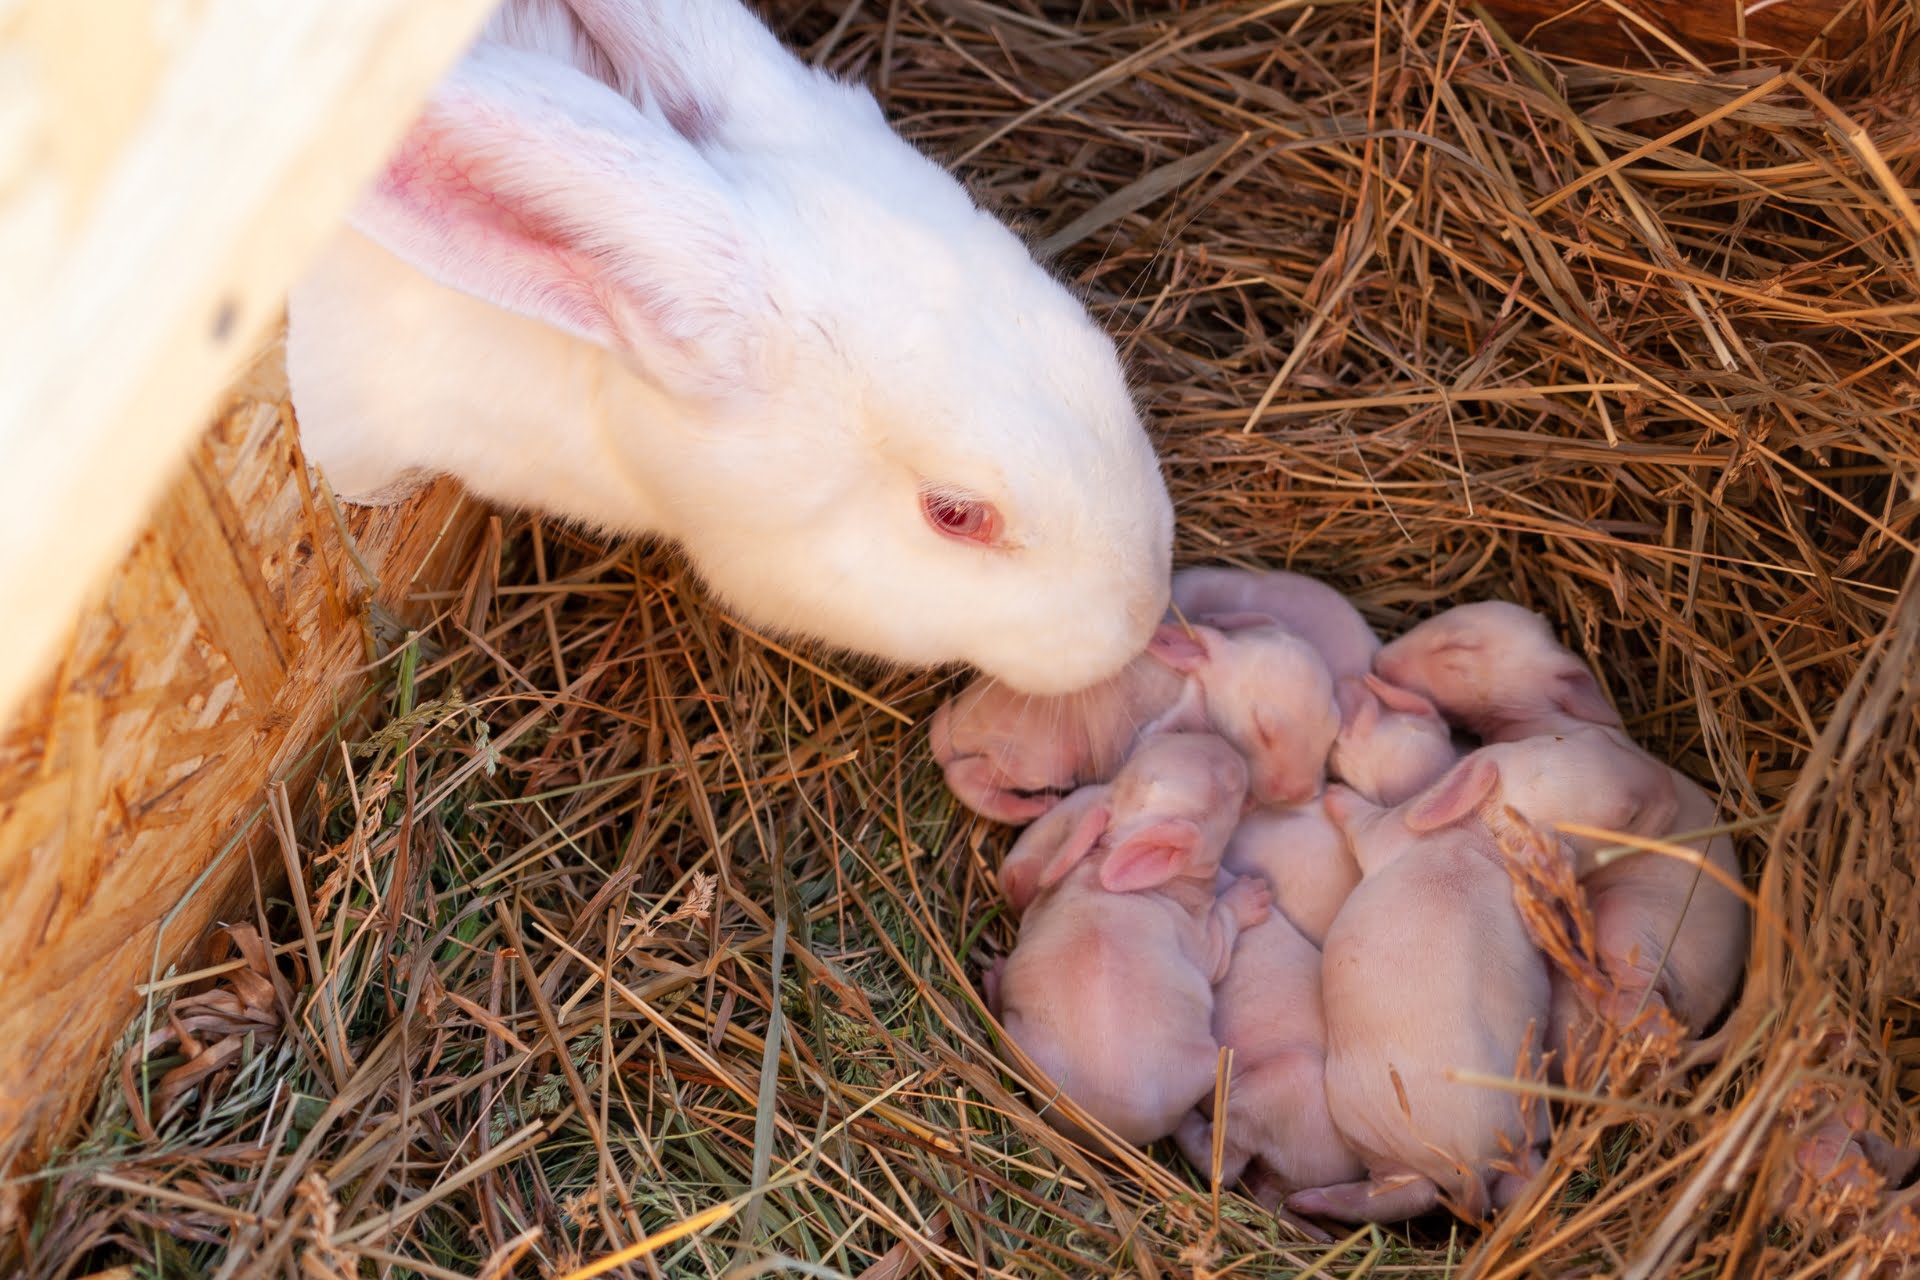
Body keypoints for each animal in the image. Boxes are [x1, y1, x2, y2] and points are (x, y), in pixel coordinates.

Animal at [990, 736, 1274, 1143]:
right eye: (1232, 786)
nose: (1229, 743)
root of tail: (1105, 1126)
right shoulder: (1198, 936)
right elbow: (1221, 938)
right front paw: (1254, 895)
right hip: (1206, 1063)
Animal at [1297, 756, 1551, 1228]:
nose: (1328, 779)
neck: (1469, 843)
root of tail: (1472, 1158)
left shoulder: (1387, 830)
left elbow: (1363, 819)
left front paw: (1334, 793)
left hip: (1366, 1120)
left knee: (1410, 1193)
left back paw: (1307, 1201)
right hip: (1530, 1131)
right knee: (1519, 1186)